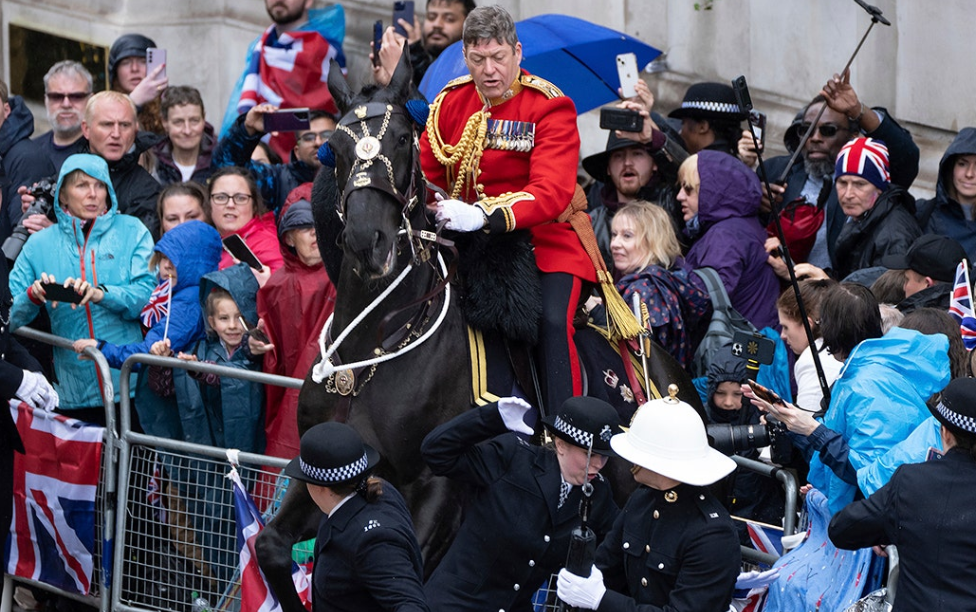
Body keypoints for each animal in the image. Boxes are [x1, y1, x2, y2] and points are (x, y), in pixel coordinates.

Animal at [258, 53, 700, 612]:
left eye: (401, 138)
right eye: (332, 148)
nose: (365, 241)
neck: (378, 345)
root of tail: (669, 379)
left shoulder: (441, 490)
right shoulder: (333, 470)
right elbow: (271, 544)